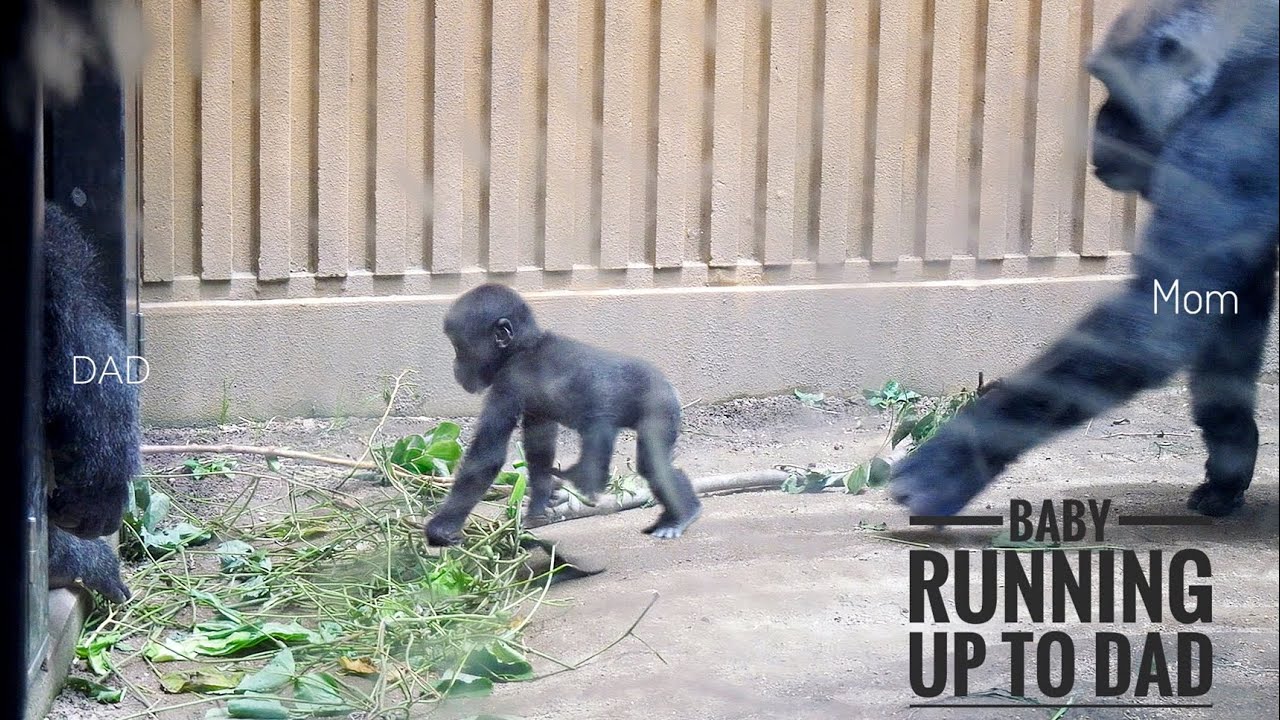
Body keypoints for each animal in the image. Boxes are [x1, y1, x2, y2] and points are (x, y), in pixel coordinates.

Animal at [424, 283, 703, 547]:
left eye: (460, 347)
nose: (456, 367)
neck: (523, 347)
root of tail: (671, 389)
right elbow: (539, 445)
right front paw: (541, 500)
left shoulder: (508, 381)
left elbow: (487, 456)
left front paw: (442, 528)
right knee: (654, 463)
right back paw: (682, 512)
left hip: (658, 404)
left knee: (651, 463)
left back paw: (679, 515)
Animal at [891, 0, 1278, 518]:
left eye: (1115, 86)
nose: (1102, 127)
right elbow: (1226, 310)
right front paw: (1230, 456)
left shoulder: (1231, 133)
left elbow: (1154, 323)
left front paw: (953, 461)